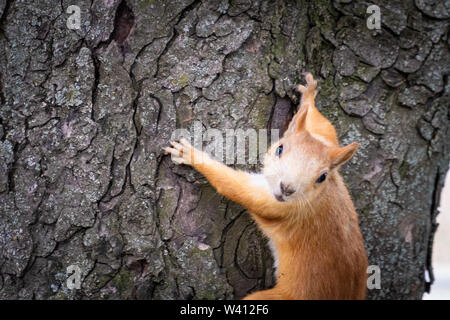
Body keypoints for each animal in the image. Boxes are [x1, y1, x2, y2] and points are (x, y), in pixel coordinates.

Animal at [165, 72, 370, 300]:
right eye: (280, 149)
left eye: (322, 177)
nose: (286, 189)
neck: (321, 196)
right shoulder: (327, 141)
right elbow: (324, 125)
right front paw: (309, 95)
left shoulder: (278, 206)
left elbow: (237, 189)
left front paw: (191, 155)